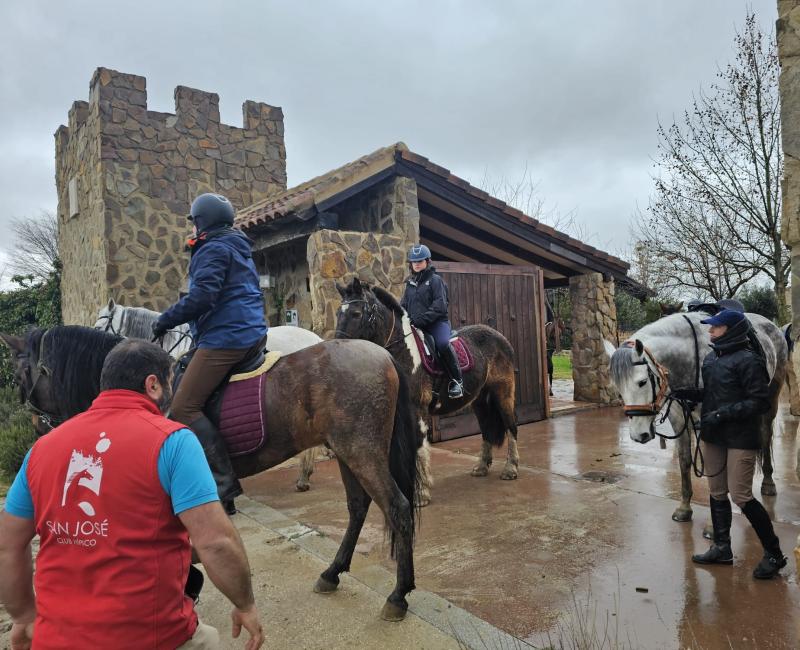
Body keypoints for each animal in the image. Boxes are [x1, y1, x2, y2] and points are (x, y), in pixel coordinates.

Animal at [332, 278, 519, 494]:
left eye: (356, 313)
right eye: (338, 313)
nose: (337, 347)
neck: (402, 352)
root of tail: (500, 338)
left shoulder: (418, 411)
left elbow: (418, 447)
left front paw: (421, 492)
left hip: (503, 393)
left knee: (511, 426)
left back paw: (511, 469)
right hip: (480, 400)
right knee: (487, 429)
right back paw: (481, 467)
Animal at [606, 311, 787, 525]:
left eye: (642, 382)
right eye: (618, 390)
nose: (638, 435)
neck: (690, 359)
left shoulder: (711, 420)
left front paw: (712, 523)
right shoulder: (679, 417)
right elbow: (684, 460)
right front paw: (684, 507)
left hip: (771, 398)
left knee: (765, 436)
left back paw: (768, 483)